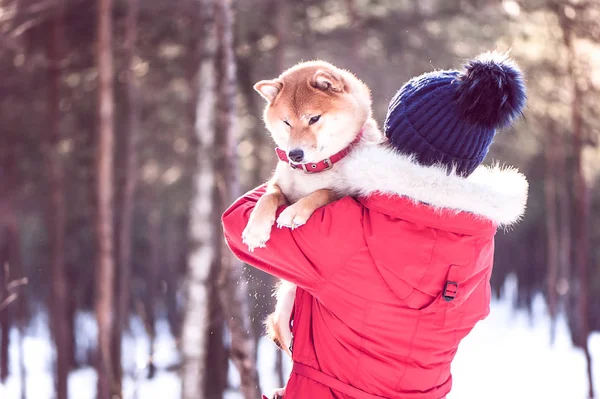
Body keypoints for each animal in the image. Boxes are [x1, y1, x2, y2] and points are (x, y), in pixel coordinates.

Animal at [241, 59, 382, 399]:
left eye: (314, 118)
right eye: (286, 122)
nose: (294, 154)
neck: (314, 171)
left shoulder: (345, 194)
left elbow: (322, 193)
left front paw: (294, 213)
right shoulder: (279, 183)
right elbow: (269, 195)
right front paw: (256, 228)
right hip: (283, 309)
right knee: (291, 352)